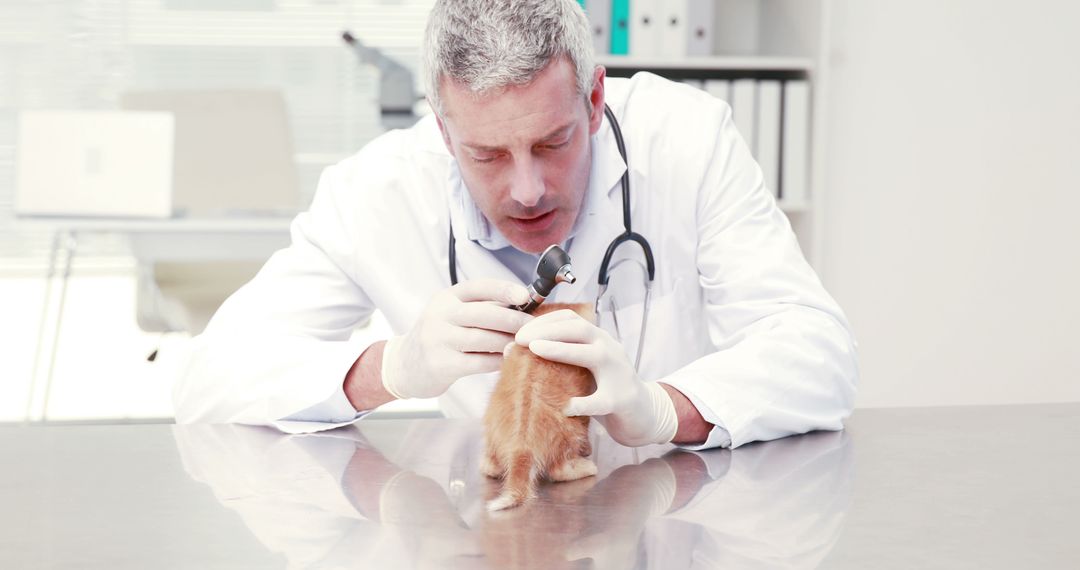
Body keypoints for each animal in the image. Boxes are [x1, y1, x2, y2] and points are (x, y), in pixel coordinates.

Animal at [483, 302, 600, 511]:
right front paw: (587, 449)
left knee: (491, 467)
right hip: (570, 432)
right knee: (559, 470)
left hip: (490, 429)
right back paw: (584, 467)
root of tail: (521, 447)